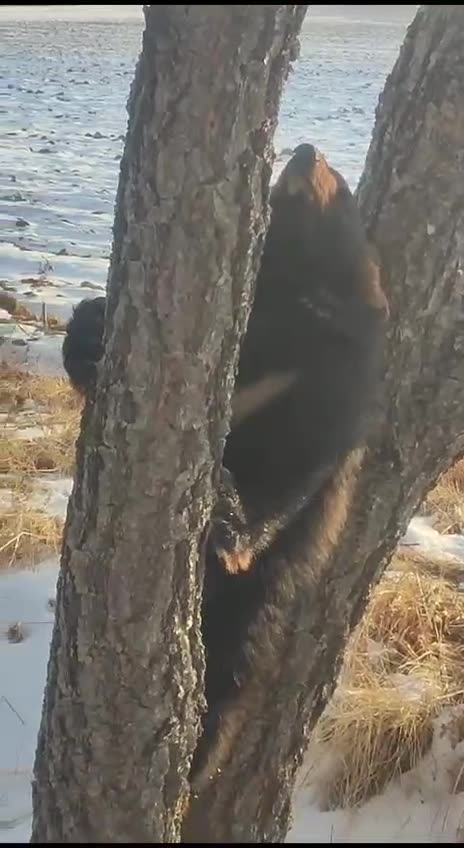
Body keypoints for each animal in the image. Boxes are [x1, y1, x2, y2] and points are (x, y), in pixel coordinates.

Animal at [62, 143, 389, 795]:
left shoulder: (331, 377)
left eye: (339, 184)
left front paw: (234, 529)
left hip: (254, 614)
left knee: (231, 684)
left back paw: (195, 770)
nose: (307, 150)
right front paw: (86, 332)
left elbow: (304, 462)